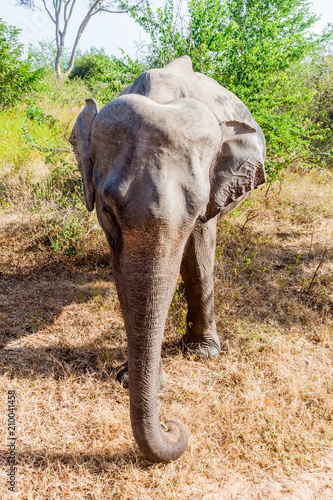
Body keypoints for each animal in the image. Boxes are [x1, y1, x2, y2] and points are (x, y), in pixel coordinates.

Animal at [68, 56, 266, 462]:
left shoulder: (212, 193)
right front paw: (131, 377)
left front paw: (203, 355)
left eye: (196, 207)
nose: (173, 425)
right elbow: (123, 273)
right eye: (107, 208)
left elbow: (200, 249)